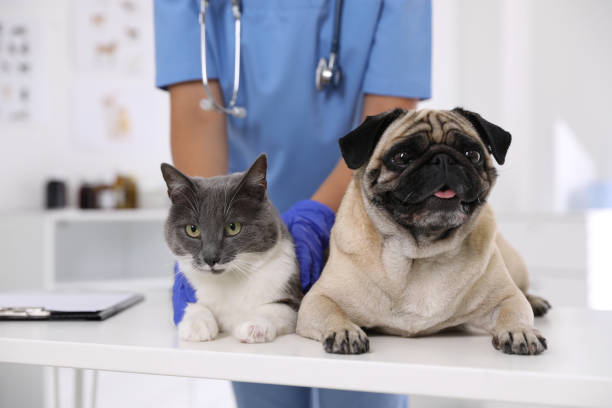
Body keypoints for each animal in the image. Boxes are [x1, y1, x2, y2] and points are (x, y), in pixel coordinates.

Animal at [159, 155, 300, 342]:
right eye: (192, 229)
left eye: (233, 227)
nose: (210, 258)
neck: (229, 281)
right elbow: (191, 304)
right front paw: (197, 324)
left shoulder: (288, 283)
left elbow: (278, 308)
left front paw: (254, 325)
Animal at [296, 107, 548, 354]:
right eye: (401, 157)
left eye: (472, 155)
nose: (443, 159)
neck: (422, 254)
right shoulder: (318, 299)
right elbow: (331, 311)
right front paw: (345, 331)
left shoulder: (506, 297)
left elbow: (515, 309)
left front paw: (520, 331)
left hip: (515, 264)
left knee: (524, 292)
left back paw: (536, 302)